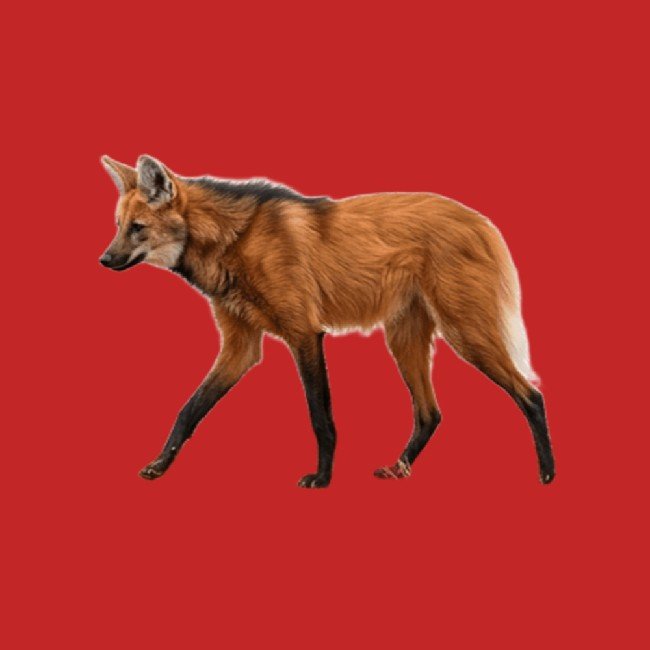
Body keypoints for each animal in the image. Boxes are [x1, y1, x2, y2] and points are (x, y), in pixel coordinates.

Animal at [99, 155, 555, 487]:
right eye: (119, 226)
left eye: (138, 228)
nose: (105, 259)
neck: (233, 240)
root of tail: (481, 219)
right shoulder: (241, 347)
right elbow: (189, 409)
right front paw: (159, 464)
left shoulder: (304, 333)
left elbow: (320, 416)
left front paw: (322, 477)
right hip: (403, 338)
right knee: (430, 413)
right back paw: (400, 467)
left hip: (465, 333)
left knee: (530, 395)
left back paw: (547, 474)